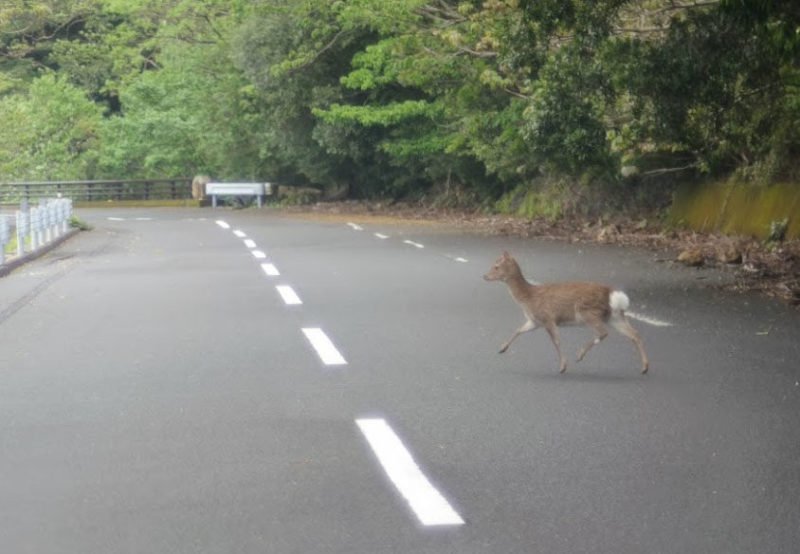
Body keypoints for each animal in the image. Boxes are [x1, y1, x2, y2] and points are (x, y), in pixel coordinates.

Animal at [483, 251, 649, 374]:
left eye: (496, 266)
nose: (484, 276)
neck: (528, 298)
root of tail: (611, 293)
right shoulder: (534, 321)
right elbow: (519, 330)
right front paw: (502, 348)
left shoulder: (547, 317)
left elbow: (556, 341)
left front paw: (563, 366)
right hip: (613, 316)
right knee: (634, 334)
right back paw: (644, 367)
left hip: (587, 311)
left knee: (603, 332)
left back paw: (580, 355)